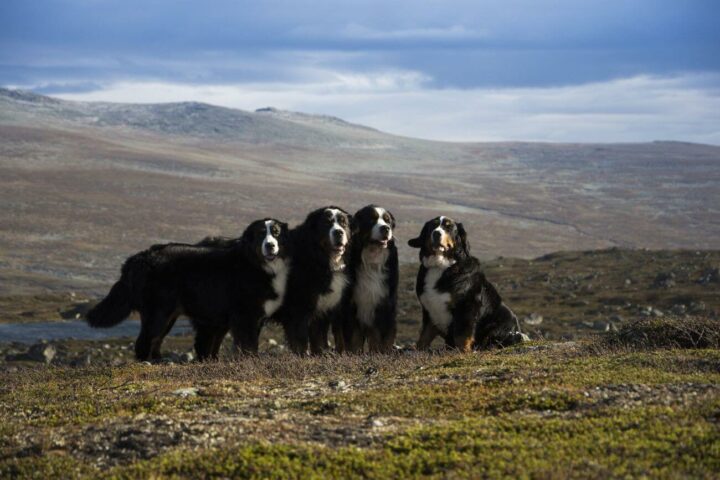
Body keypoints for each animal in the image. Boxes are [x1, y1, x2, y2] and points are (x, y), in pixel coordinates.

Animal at [88, 218, 292, 360]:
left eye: (276, 233)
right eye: (260, 234)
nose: (270, 245)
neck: (257, 265)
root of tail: (139, 258)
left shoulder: (250, 317)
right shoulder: (244, 316)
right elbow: (247, 344)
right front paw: (250, 361)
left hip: (171, 315)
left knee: (157, 340)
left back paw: (159, 361)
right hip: (158, 312)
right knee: (145, 341)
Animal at [274, 204, 352, 354]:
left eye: (343, 223)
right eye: (326, 223)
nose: (339, 232)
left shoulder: (330, 307)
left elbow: (331, 338)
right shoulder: (301, 309)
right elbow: (301, 341)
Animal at [344, 204, 400, 354]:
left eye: (387, 221)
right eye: (371, 220)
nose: (385, 228)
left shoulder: (384, 306)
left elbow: (379, 339)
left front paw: (379, 354)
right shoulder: (352, 307)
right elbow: (354, 339)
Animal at [408, 218, 520, 352]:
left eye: (449, 227)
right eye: (432, 226)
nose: (436, 233)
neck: (439, 266)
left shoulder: (467, 307)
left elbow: (462, 335)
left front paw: (463, 352)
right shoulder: (429, 310)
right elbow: (424, 336)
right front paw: (418, 351)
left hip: (500, 321)